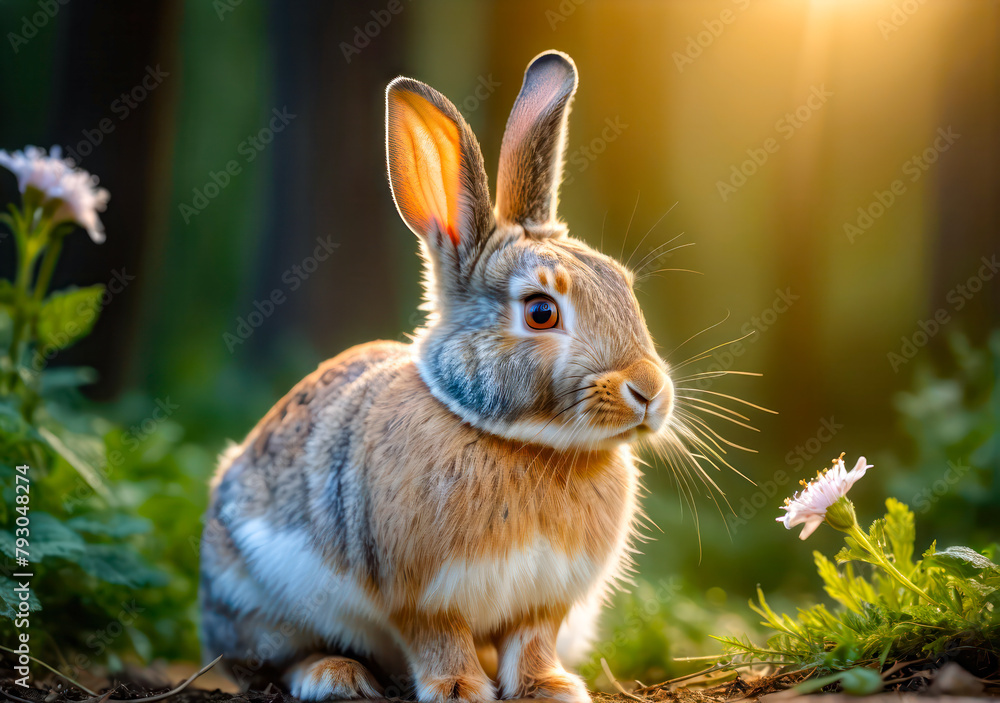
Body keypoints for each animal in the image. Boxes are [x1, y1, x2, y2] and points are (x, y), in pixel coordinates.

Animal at [199, 50, 674, 703]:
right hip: (258, 602)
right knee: (273, 660)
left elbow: (533, 641)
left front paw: (551, 687)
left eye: (623, 285)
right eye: (541, 312)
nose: (650, 392)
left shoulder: (545, 601)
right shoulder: (423, 597)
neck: (523, 444)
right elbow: (438, 638)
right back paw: (335, 675)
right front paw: (459, 689)